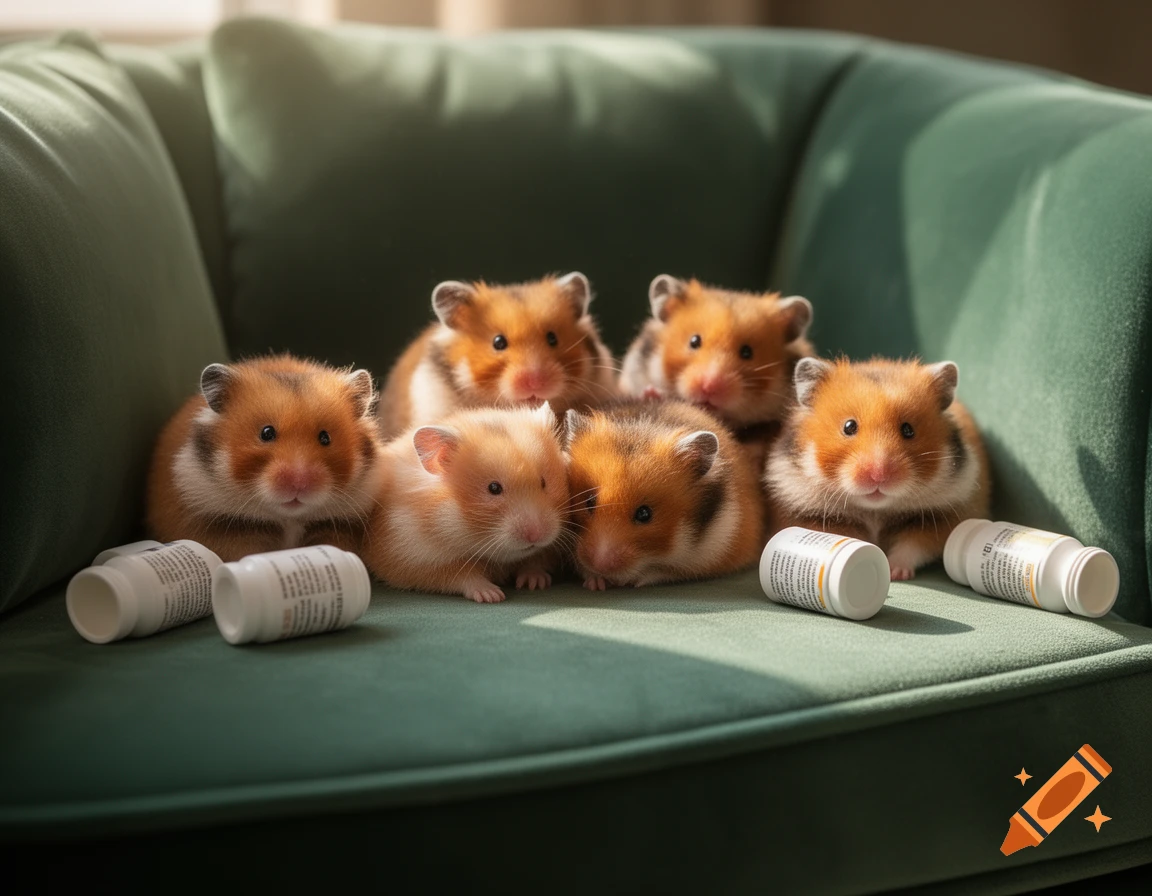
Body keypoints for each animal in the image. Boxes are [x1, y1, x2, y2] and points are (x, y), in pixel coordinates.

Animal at [364, 402, 569, 603]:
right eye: (494, 488)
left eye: (543, 482)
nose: (536, 536)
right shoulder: (412, 556)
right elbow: (463, 576)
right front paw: (492, 595)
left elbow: (535, 561)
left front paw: (534, 583)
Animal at [564, 400, 765, 590]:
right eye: (589, 502)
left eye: (644, 514)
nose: (600, 564)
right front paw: (596, 583)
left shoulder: (710, 553)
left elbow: (661, 572)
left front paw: (628, 581)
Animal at [764, 357, 991, 580]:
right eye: (849, 426)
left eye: (908, 430)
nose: (878, 476)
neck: (875, 510)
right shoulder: (809, 515)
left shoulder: (938, 520)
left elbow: (912, 546)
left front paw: (894, 572)